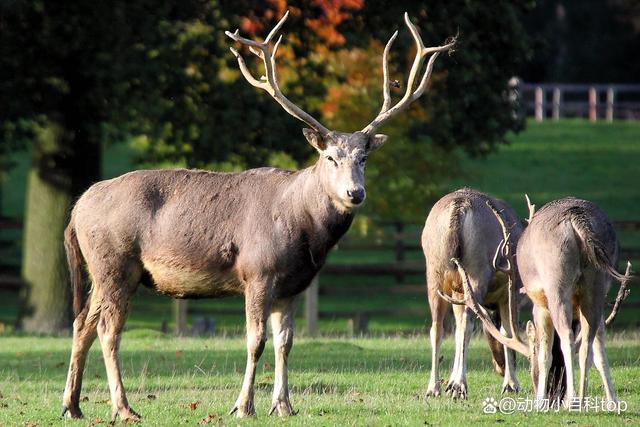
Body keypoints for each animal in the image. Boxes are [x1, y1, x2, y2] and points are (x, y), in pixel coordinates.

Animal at [61, 10, 456, 422]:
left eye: (363, 157)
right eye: (330, 157)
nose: (355, 193)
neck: (306, 233)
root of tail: (77, 208)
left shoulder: (294, 285)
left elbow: (285, 342)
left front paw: (283, 405)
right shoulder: (258, 272)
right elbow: (256, 340)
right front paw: (243, 405)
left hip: (101, 271)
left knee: (82, 321)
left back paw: (72, 405)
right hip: (115, 263)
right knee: (108, 329)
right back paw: (124, 408)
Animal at [420, 189, 524, 400]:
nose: (499, 368)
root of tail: (458, 208)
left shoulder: (457, 293)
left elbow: (457, 330)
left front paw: (450, 382)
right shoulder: (510, 293)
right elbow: (507, 331)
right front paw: (511, 384)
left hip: (434, 273)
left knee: (437, 327)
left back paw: (434, 387)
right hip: (477, 269)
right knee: (468, 323)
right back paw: (460, 386)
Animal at [448, 197, 632, 408]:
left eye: (530, 364)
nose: (554, 397)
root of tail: (577, 220)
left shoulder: (539, 306)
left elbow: (545, 354)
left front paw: (539, 401)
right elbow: (599, 348)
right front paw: (613, 400)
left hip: (555, 283)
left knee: (567, 336)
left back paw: (573, 400)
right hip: (596, 286)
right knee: (587, 341)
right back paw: (581, 398)